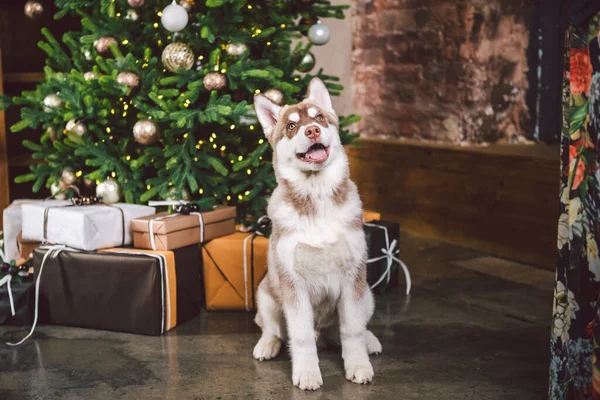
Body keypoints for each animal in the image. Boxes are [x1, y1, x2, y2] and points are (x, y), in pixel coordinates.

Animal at [252, 78, 380, 390]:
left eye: (319, 117)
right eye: (291, 126)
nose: (312, 130)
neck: (317, 197)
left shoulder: (353, 278)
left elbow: (352, 330)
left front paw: (358, 365)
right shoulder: (293, 284)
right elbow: (299, 336)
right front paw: (307, 372)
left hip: (368, 295)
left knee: (353, 328)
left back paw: (370, 341)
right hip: (266, 294)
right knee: (272, 328)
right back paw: (267, 345)